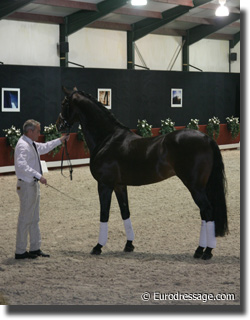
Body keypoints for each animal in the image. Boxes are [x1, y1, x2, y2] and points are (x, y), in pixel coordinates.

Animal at [56, 87, 229, 260]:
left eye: (64, 103)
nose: (58, 125)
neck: (107, 139)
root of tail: (207, 138)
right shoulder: (119, 185)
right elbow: (125, 212)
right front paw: (129, 245)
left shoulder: (104, 185)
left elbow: (104, 214)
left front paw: (98, 247)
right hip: (201, 187)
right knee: (204, 214)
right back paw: (200, 250)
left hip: (195, 187)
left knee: (208, 211)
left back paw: (206, 251)